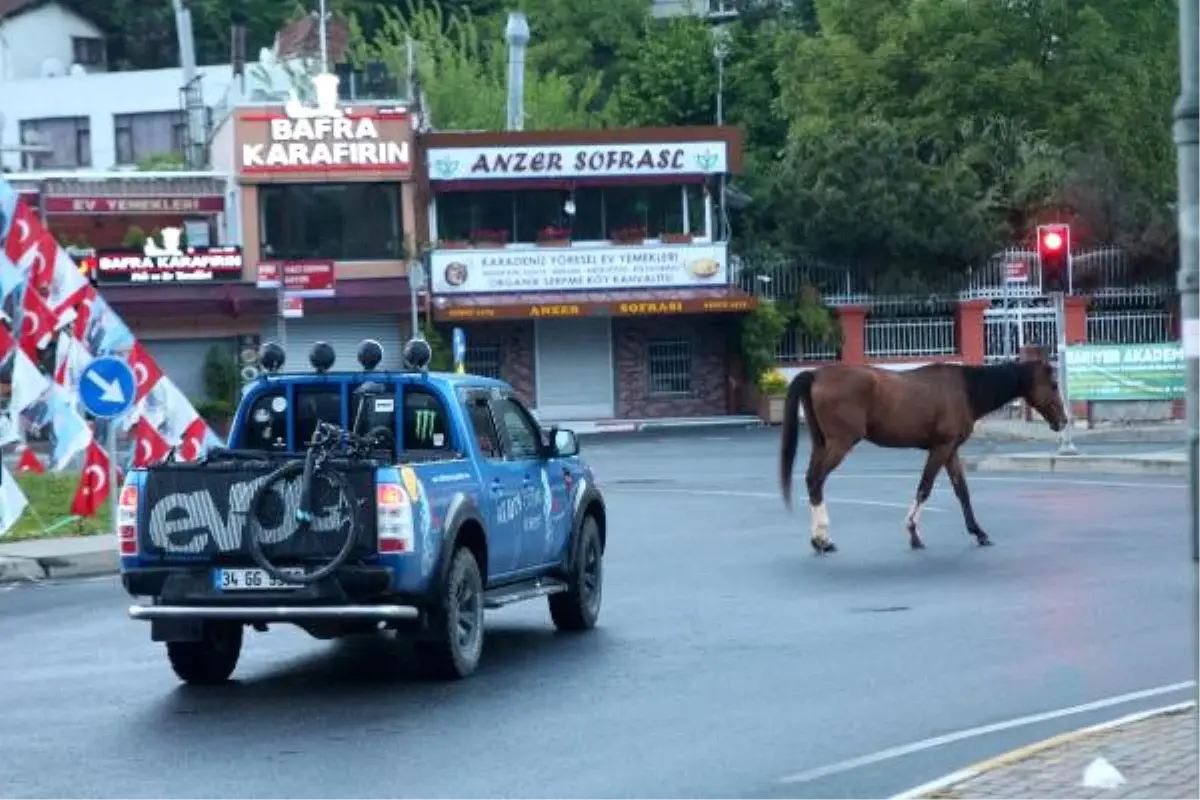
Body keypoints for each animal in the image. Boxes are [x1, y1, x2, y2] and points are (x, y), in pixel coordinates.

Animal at [782, 362, 1065, 554]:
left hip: (822, 444)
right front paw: (913, 533)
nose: (1063, 421)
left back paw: (820, 539)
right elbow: (924, 488)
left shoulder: (951, 450)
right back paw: (822, 539)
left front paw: (978, 532)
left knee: (813, 482)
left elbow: (962, 491)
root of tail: (816, 374)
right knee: (815, 480)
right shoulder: (940, 448)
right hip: (840, 444)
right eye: (1053, 385)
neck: (966, 390)